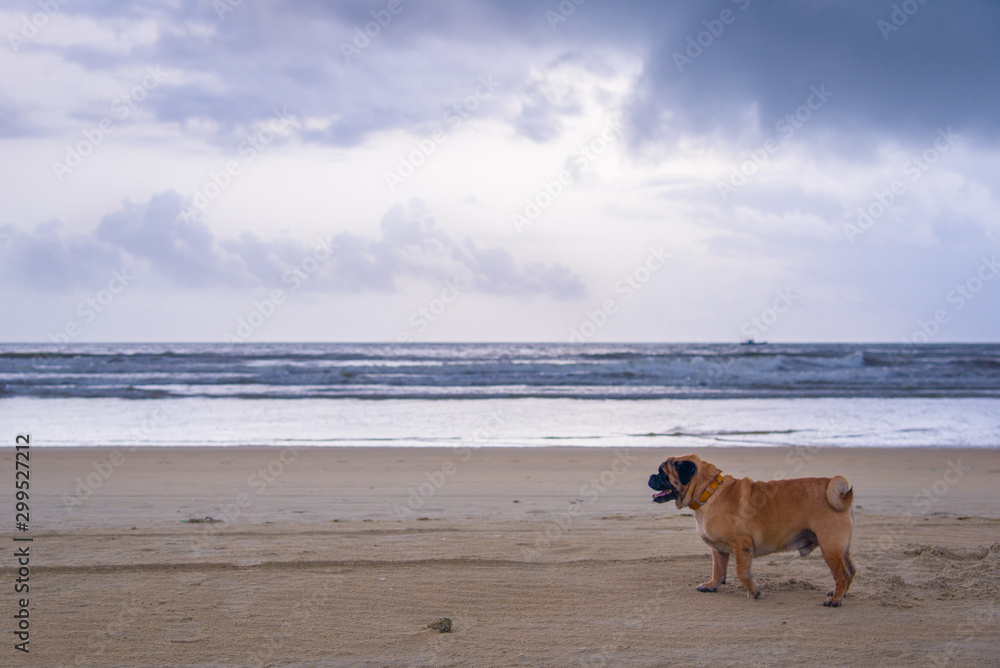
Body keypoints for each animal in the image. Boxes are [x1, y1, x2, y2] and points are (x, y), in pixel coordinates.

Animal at [652, 454, 856, 604]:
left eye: (663, 474)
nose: (651, 477)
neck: (708, 491)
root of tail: (841, 495)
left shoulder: (742, 546)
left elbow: (741, 573)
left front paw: (754, 591)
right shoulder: (718, 550)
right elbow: (717, 570)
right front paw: (712, 585)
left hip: (830, 547)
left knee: (842, 574)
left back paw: (835, 600)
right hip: (841, 548)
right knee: (851, 570)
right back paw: (840, 594)